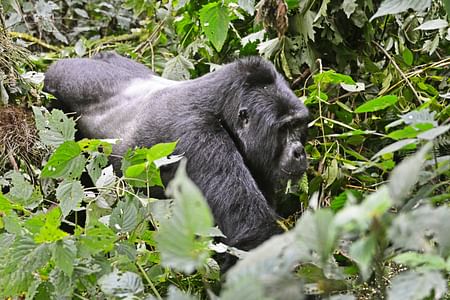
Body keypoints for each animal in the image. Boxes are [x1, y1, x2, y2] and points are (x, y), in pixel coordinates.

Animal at [44, 52, 308, 253]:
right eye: (284, 129)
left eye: (298, 125)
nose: (299, 152)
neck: (220, 106)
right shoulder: (199, 138)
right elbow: (253, 234)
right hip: (60, 89)